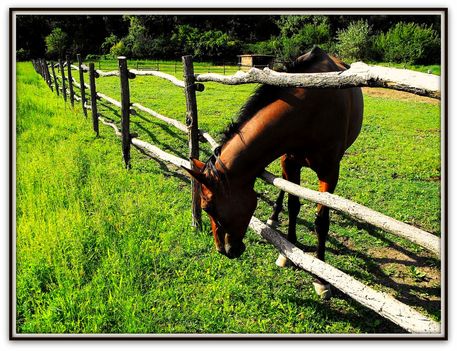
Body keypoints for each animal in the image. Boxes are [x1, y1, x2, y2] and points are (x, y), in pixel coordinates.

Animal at [182, 46, 364, 298]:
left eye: (209, 207)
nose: (224, 251)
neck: (310, 109)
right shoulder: (289, 161)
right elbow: (293, 204)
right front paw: (287, 253)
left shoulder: (329, 172)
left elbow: (321, 221)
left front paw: (321, 278)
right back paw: (274, 216)